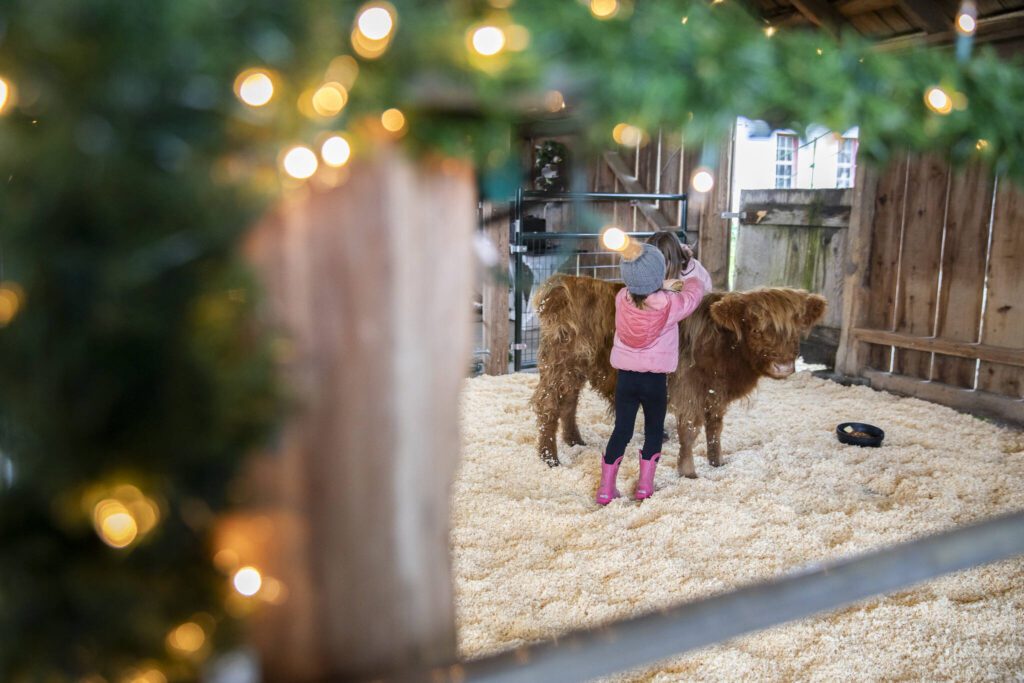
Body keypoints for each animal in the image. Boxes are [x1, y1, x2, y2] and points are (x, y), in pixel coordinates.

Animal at [528, 274, 823, 479]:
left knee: (569, 402)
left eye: (796, 330)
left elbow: (715, 428)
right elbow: (690, 431)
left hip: (575, 369)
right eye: (755, 328)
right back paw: (550, 458)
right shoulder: (689, 390)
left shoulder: (715, 393)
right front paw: (689, 472)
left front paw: (717, 462)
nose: (783, 367)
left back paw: (574, 441)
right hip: (559, 365)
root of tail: (562, 282)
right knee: (548, 406)